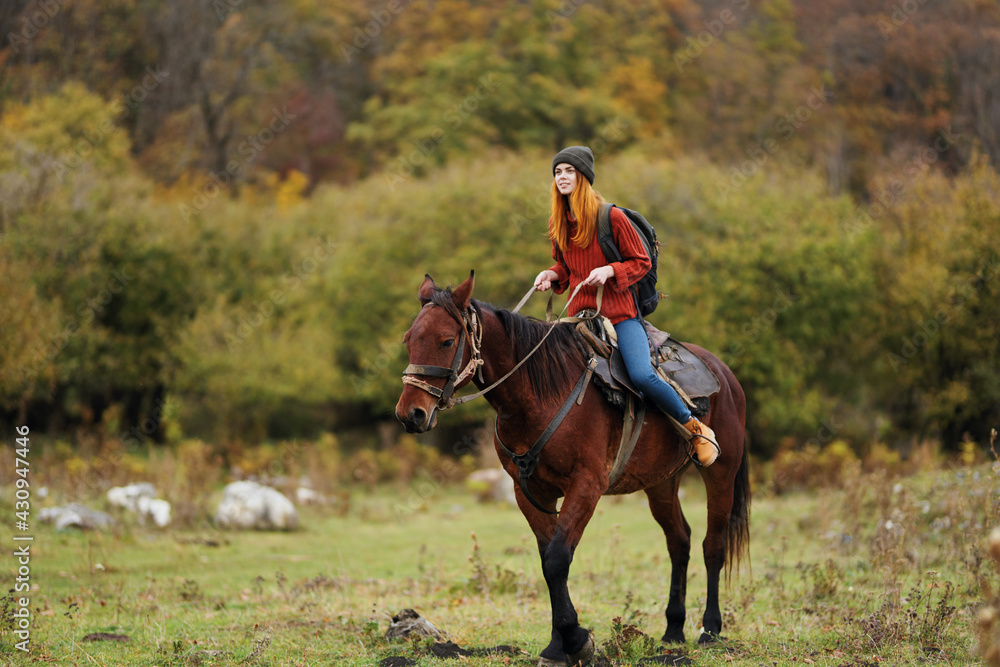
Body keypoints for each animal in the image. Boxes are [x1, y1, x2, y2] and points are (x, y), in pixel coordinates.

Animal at [394, 272, 748, 667]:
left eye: (446, 340)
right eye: (409, 339)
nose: (410, 414)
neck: (539, 395)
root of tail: (725, 375)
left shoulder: (586, 486)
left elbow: (558, 558)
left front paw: (577, 641)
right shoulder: (530, 492)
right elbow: (548, 560)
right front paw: (557, 646)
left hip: (721, 475)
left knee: (712, 545)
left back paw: (709, 630)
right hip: (661, 484)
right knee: (679, 541)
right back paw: (673, 630)